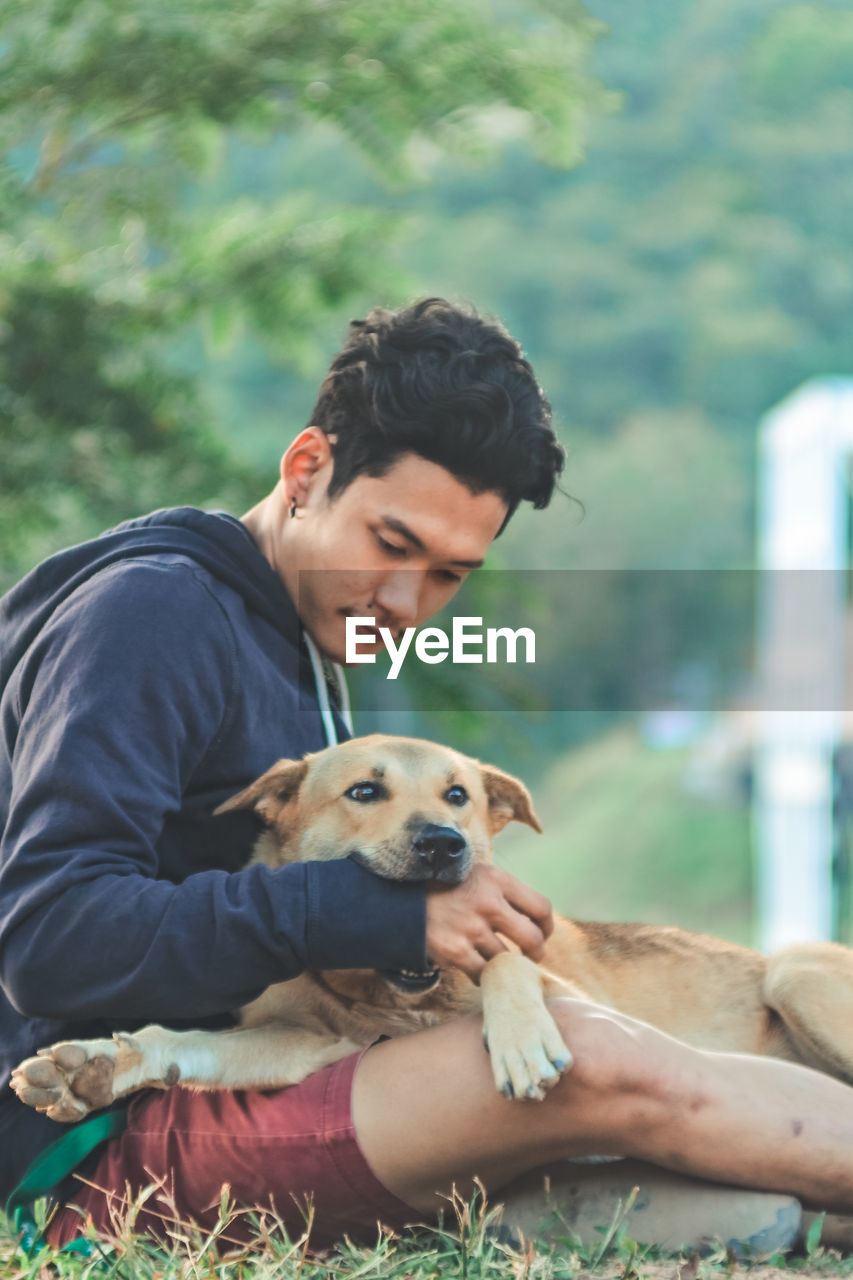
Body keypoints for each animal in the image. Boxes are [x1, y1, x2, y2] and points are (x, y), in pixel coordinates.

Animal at [11, 737, 850, 1126]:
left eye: (458, 796)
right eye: (363, 792)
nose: (444, 845)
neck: (392, 999)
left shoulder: (574, 995)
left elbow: (508, 957)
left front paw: (519, 1038)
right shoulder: (311, 1045)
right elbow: (192, 1045)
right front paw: (101, 1063)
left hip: (794, 970)